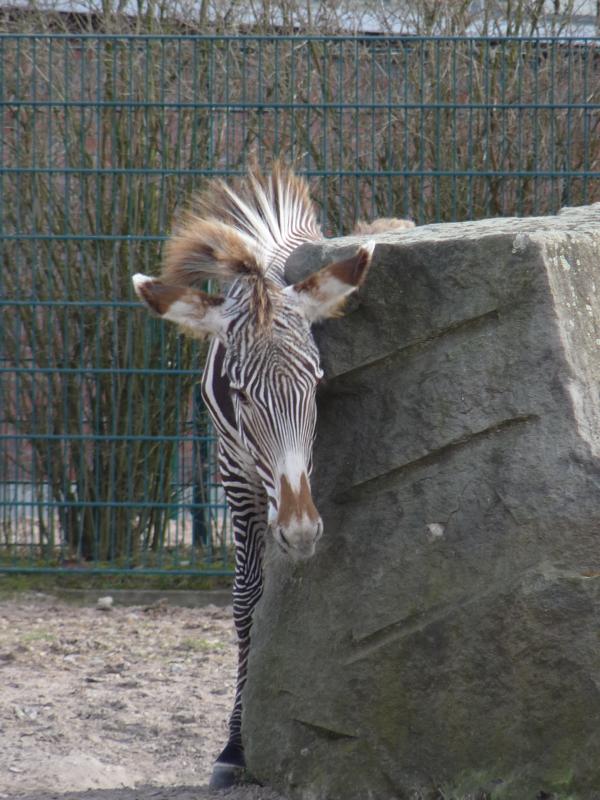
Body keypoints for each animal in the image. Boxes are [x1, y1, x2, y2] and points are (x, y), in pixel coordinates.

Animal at [132, 163, 375, 789]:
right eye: (238, 392)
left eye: (316, 379)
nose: (301, 530)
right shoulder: (234, 478)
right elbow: (246, 602)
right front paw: (234, 747)